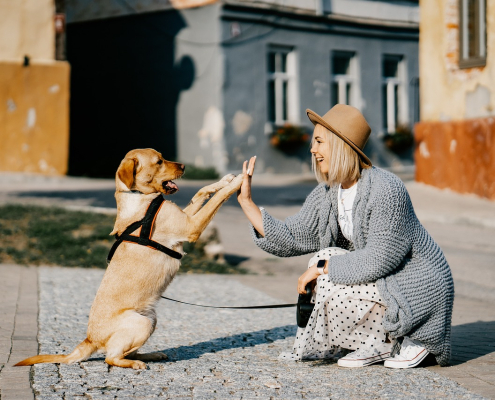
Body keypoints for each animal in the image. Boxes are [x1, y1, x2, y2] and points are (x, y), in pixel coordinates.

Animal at [16, 148, 245, 370]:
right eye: (159, 161)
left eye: (163, 157)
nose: (184, 166)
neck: (139, 197)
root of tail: (90, 339)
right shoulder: (191, 226)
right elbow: (217, 199)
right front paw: (239, 181)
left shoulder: (186, 217)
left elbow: (201, 191)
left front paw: (225, 179)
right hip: (141, 323)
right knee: (111, 358)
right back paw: (135, 363)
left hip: (151, 319)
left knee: (125, 352)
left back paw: (151, 355)